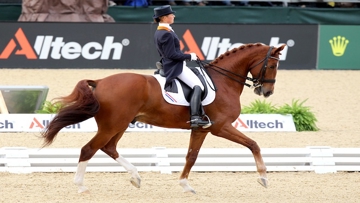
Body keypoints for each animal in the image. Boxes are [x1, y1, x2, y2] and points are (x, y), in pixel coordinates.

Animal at [40, 42, 286, 193]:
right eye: (273, 65)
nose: (266, 92)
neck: (223, 81)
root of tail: (100, 81)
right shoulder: (220, 127)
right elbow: (253, 144)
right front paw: (264, 178)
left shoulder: (201, 129)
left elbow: (191, 156)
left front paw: (185, 185)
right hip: (112, 125)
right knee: (88, 149)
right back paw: (81, 186)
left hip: (120, 125)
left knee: (109, 147)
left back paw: (136, 177)